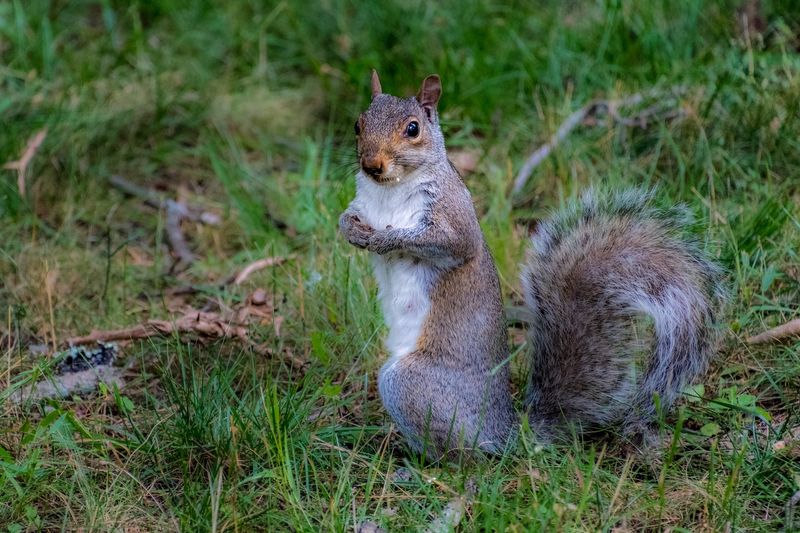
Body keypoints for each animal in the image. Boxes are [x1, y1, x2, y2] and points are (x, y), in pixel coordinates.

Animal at [338, 72, 724, 460]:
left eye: (413, 129)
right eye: (357, 124)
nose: (371, 165)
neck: (389, 190)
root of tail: (503, 432)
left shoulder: (452, 215)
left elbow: (450, 243)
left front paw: (386, 240)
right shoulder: (363, 200)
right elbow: (348, 216)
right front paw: (350, 230)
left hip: (409, 386)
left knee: (462, 458)